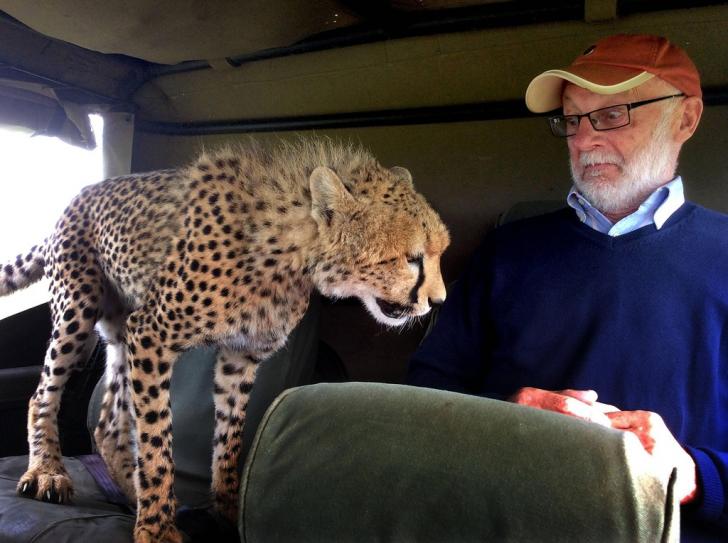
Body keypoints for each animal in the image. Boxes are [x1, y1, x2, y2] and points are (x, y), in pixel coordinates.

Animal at [0, 137, 450, 543]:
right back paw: (49, 472)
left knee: (109, 420)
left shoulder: (240, 357)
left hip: (118, 330)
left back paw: (132, 493)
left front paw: (228, 509)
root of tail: (80, 195)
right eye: (411, 258)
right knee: (44, 392)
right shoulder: (151, 334)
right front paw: (157, 528)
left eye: (439, 253)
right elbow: (157, 437)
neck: (289, 251)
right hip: (78, 311)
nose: (438, 300)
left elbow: (230, 438)